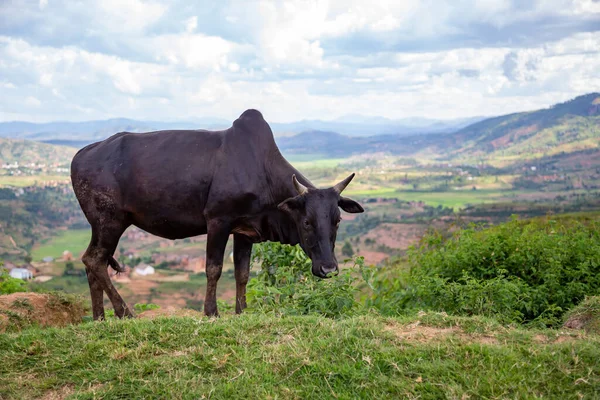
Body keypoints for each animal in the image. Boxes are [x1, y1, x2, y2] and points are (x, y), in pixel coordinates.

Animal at [70, 108, 360, 320]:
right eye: (307, 221)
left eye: (337, 220)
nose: (328, 268)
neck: (261, 170)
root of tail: (81, 154)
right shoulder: (218, 221)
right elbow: (214, 268)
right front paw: (211, 312)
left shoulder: (246, 230)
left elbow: (242, 273)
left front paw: (242, 311)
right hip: (110, 221)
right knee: (94, 260)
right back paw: (123, 312)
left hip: (101, 225)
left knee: (91, 263)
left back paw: (99, 318)